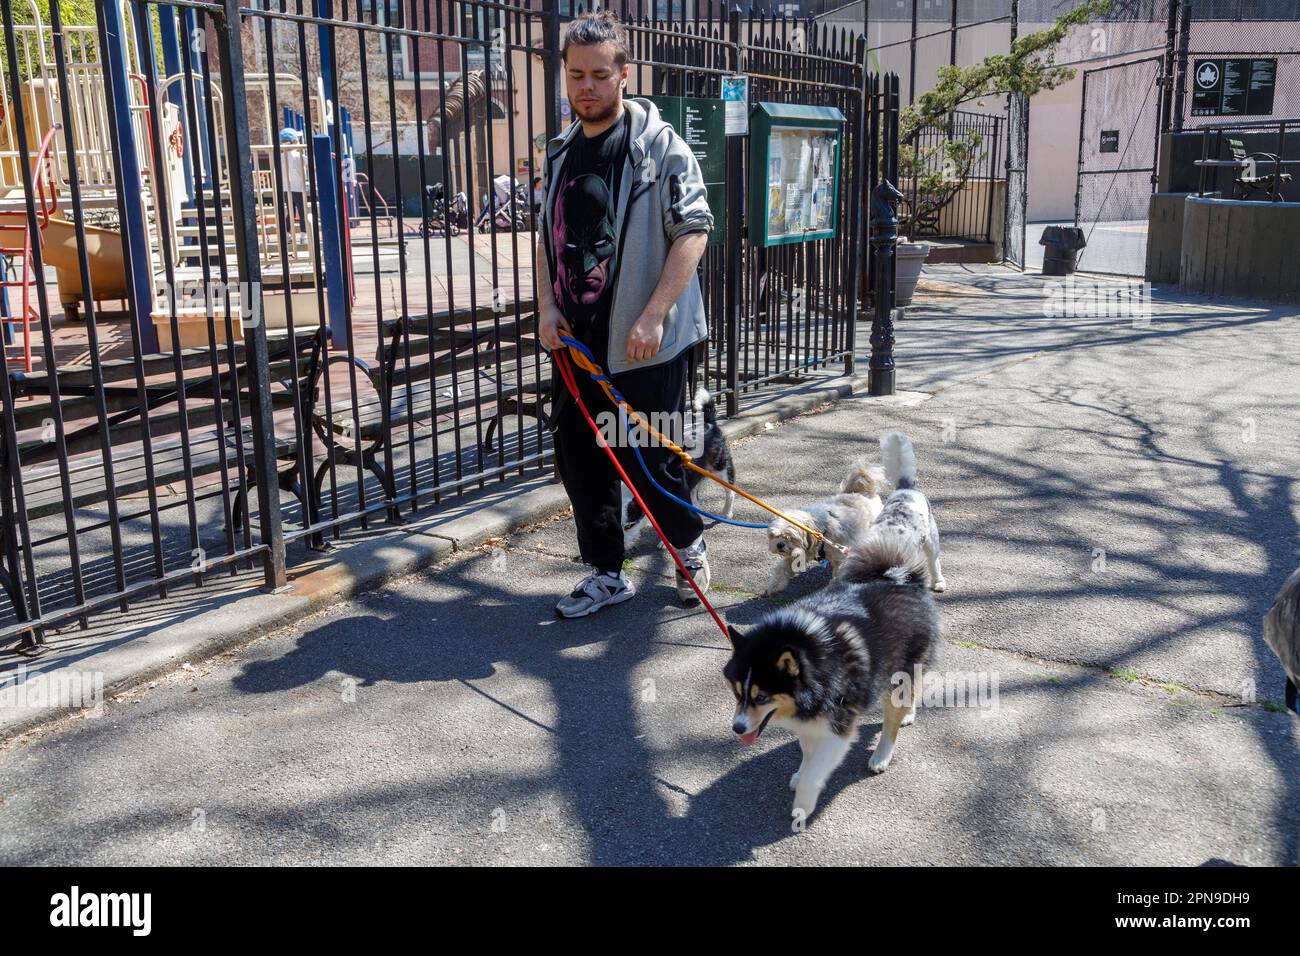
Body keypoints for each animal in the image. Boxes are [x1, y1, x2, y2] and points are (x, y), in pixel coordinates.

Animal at [618, 387, 733, 548]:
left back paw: (726, 512)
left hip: (720, 468)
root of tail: (709, 424)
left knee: (730, 492)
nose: (622, 547)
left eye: (629, 526)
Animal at [764, 460, 889, 595]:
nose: (780, 545)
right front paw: (775, 585)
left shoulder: (839, 555)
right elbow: (782, 568)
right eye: (774, 536)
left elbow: (839, 573)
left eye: (791, 537)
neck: (820, 530)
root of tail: (863, 492)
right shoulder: (800, 552)